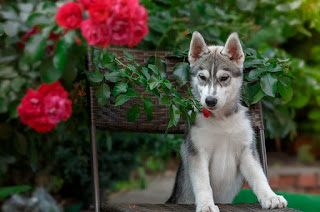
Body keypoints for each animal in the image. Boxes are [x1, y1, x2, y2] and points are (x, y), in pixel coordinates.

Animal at [168, 31, 288, 212]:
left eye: (224, 77)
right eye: (202, 77)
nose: (210, 101)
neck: (221, 120)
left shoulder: (247, 150)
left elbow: (259, 176)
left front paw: (270, 197)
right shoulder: (197, 151)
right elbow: (203, 183)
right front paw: (206, 204)